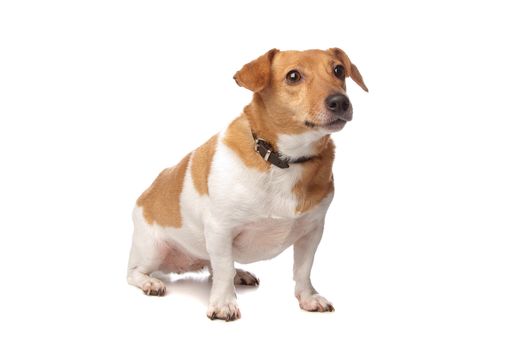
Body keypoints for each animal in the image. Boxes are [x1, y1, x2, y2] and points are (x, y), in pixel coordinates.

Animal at [127, 47, 366, 322]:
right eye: (293, 76)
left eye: (339, 70)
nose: (340, 102)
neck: (283, 160)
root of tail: (143, 196)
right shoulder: (220, 229)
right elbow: (222, 270)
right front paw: (223, 304)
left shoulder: (312, 231)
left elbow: (303, 269)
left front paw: (308, 298)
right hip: (152, 250)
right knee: (134, 272)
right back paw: (150, 283)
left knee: (213, 267)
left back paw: (238, 274)